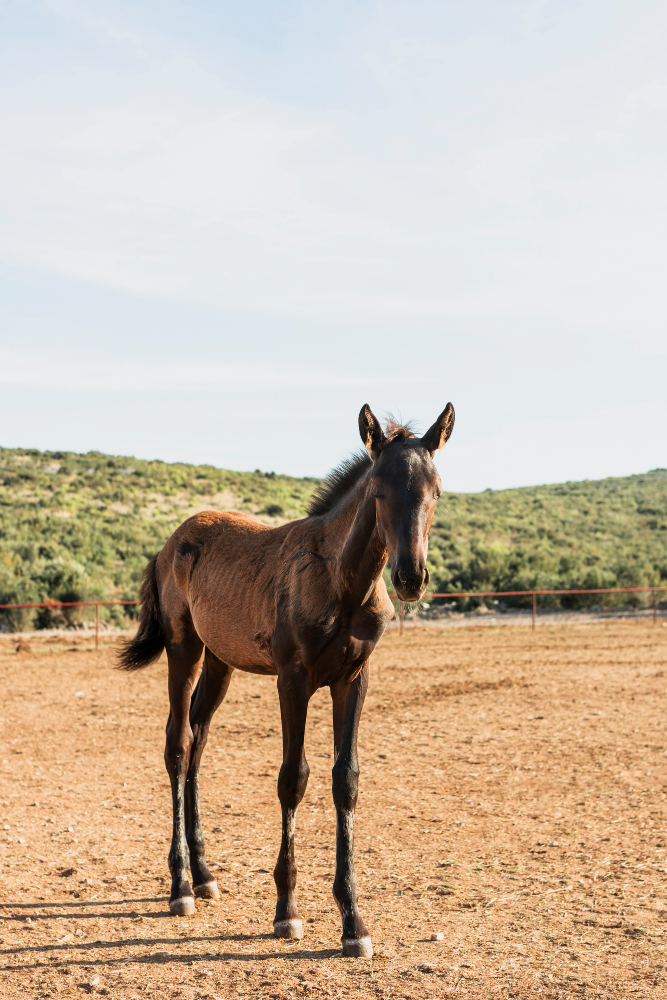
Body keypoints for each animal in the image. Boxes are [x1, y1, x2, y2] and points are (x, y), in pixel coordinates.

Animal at [118, 402, 454, 956]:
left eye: (436, 490)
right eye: (378, 491)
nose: (410, 577)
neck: (342, 583)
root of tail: (170, 543)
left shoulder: (354, 679)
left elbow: (347, 781)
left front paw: (353, 921)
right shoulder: (292, 679)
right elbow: (292, 779)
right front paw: (287, 910)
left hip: (220, 661)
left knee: (199, 741)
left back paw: (205, 875)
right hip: (184, 649)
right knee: (178, 745)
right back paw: (181, 885)